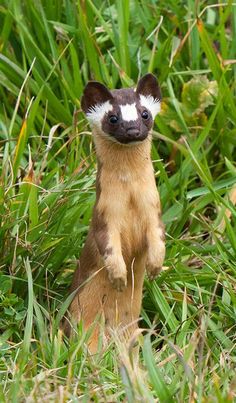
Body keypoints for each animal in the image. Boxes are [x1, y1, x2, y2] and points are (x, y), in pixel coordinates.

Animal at [63, 74, 165, 352]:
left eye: (144, 113)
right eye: (112, 118)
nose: (132, 130)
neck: (130, 201)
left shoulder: (153, 209)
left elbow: (158, 236)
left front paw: (155, 266)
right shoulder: (104, 215)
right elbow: (108, 245)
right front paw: (119, 276)